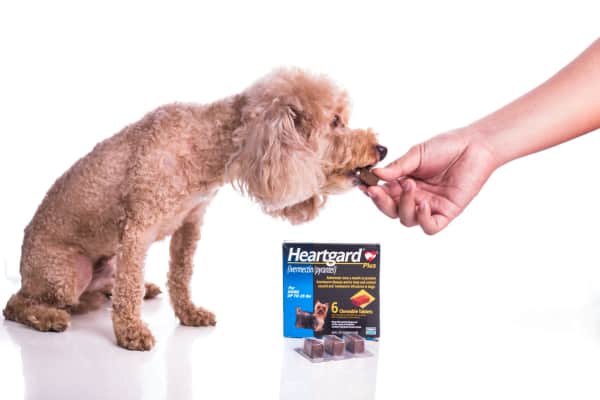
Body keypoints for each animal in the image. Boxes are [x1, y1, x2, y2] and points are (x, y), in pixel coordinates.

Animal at [2, 69, 386, 350]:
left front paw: (188, 313)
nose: (381, 149)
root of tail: (23, 266)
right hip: (67, 276)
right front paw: (130, 332)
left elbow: (181, 275)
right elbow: (129, 288)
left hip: (107, 262)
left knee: (112, 284)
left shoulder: (191, 224)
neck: (205, 142)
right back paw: (51, 316)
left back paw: (135, 289)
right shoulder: (137, 229)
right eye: (335, 121)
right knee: (17, 304)